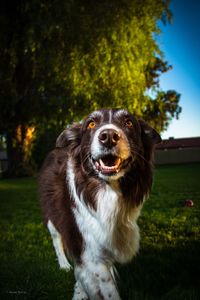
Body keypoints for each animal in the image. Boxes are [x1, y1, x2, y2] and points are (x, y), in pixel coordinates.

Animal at [39, 108, 161, 300]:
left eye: (129, 122)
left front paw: (80, 290)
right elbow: (107, 290)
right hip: (52, 216)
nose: (109, 136)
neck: (109, 190)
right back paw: (64, 264)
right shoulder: (90, 250)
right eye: (91, 124)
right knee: (57, 239)